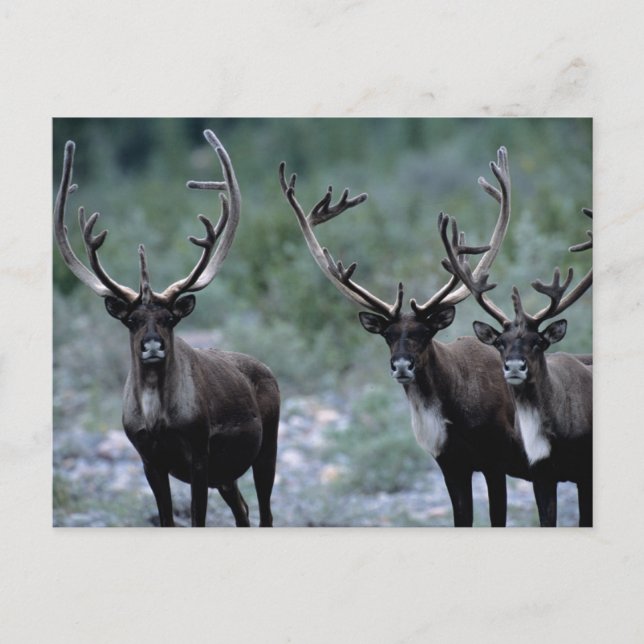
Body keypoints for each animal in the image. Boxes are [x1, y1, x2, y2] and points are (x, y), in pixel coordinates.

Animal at [54, 130, 280, 527]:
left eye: (170, 319)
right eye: (131, 320)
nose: (152, 346)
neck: (157, 415)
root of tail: (267, 370)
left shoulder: (199, 453)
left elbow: (197, 520)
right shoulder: (149, 459)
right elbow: (166, 519)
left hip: (266, 448)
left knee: (265, 513)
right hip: (227, 474)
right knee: (243, 509)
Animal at [280, 147, 539, 527]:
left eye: (426, 332)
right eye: (387, 334)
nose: (402, 365)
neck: (453, 410)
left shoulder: (496, 462)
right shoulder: (451, 465)